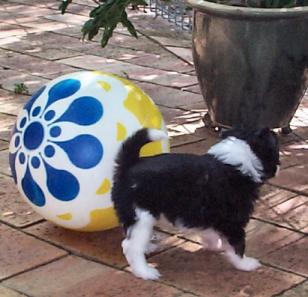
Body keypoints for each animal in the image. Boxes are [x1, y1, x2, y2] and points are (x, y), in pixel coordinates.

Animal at [110, 127, 280, 280]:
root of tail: (128, 166)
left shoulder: (207, 214)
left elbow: (209, 232)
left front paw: (213, 245)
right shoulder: (233, 221)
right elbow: (237, 245)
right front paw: (245, 264)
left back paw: (148, 248)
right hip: (142, 215)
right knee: (130, 246)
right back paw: (145, 272)